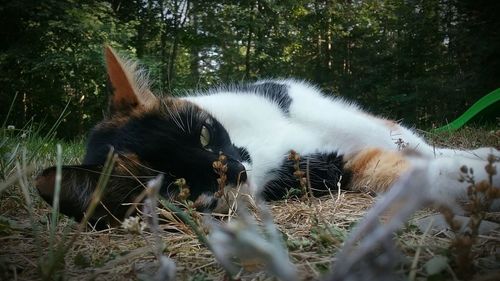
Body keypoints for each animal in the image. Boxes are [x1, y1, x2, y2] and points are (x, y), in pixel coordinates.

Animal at [34, 46, 496, 224]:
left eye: (204, 135)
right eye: (176, 186)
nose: (237, 170)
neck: (256, 145)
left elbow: (423, 151)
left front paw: (482, 161)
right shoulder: (333, 169)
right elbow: (417, 173)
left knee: (417, 141)